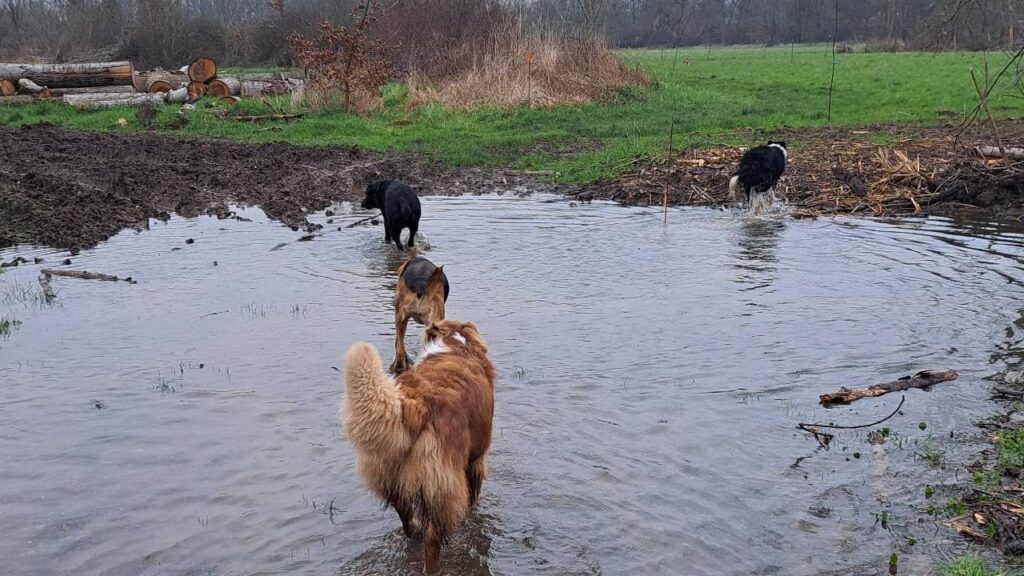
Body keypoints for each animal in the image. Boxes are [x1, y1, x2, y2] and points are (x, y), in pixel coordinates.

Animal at [344, 319, 495, 569]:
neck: (455, 346)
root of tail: (415, 404)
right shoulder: (477, 458)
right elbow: (474, 492)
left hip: (390, 471)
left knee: (402, 508)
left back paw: (413, 529)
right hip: (445, 487)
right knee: (432, 537)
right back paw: (433, 567)